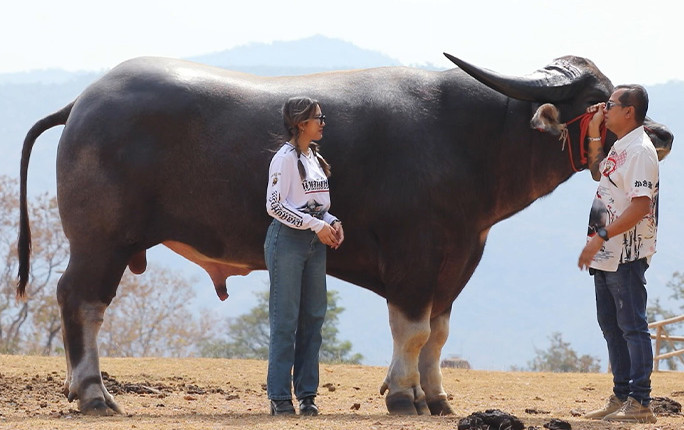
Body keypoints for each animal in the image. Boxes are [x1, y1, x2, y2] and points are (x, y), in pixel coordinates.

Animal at [17, 52, 672, 414]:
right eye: (600, 97)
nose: (661, 134)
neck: (467, 140)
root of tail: (83, 102)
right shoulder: (414, 260)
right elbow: (411, 331)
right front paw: (404, 398)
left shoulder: (457, 261)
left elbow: (437, 335)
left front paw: (436, 397)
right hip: (100, 242)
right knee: (81, 302)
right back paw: (93, 394)